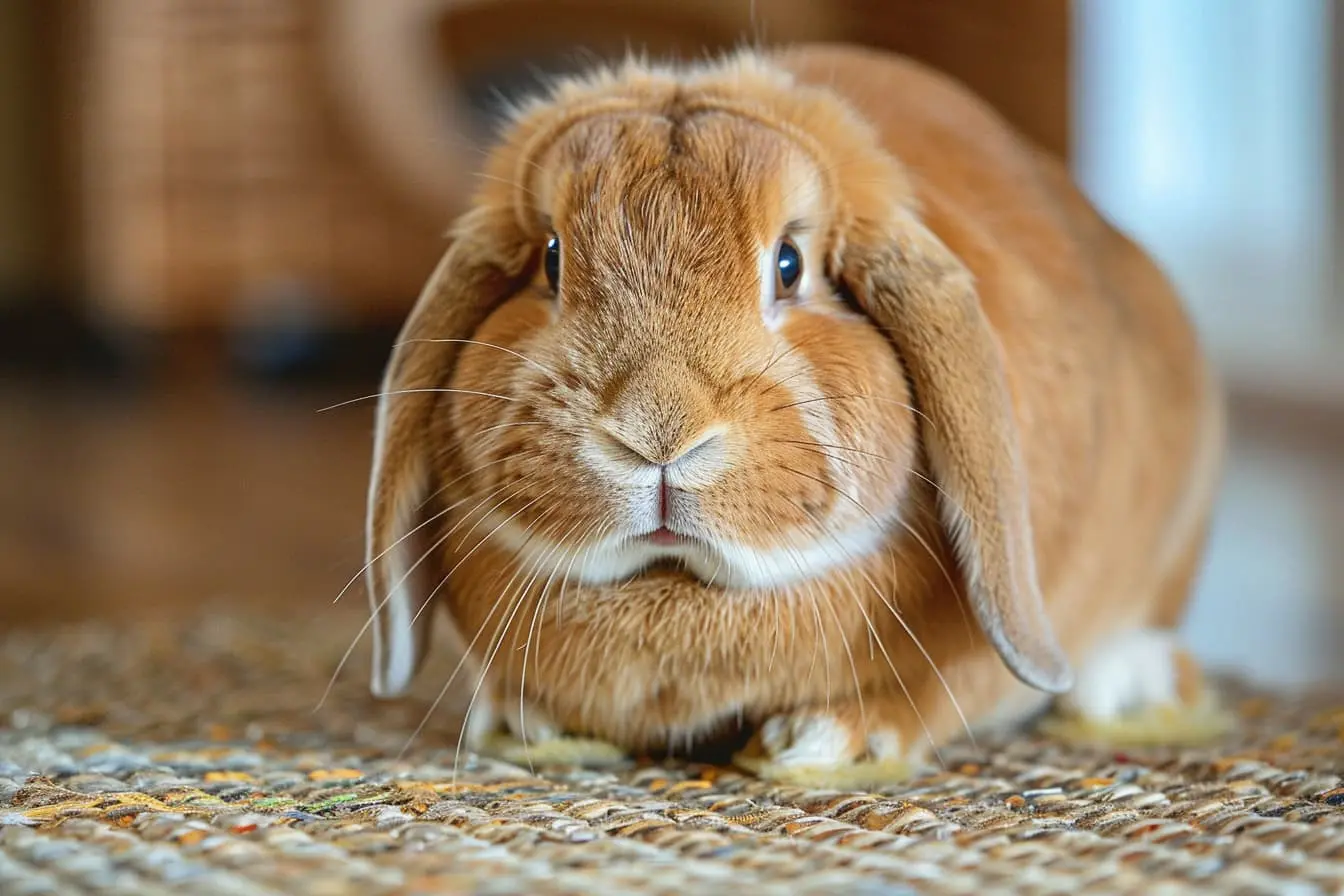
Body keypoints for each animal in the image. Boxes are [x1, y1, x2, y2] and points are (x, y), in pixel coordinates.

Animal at [360, 40, 1231, 773]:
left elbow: (937, 692)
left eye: (790, 264)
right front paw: (522, 719)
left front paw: (823, 740)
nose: (657, 434)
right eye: (551, 260)